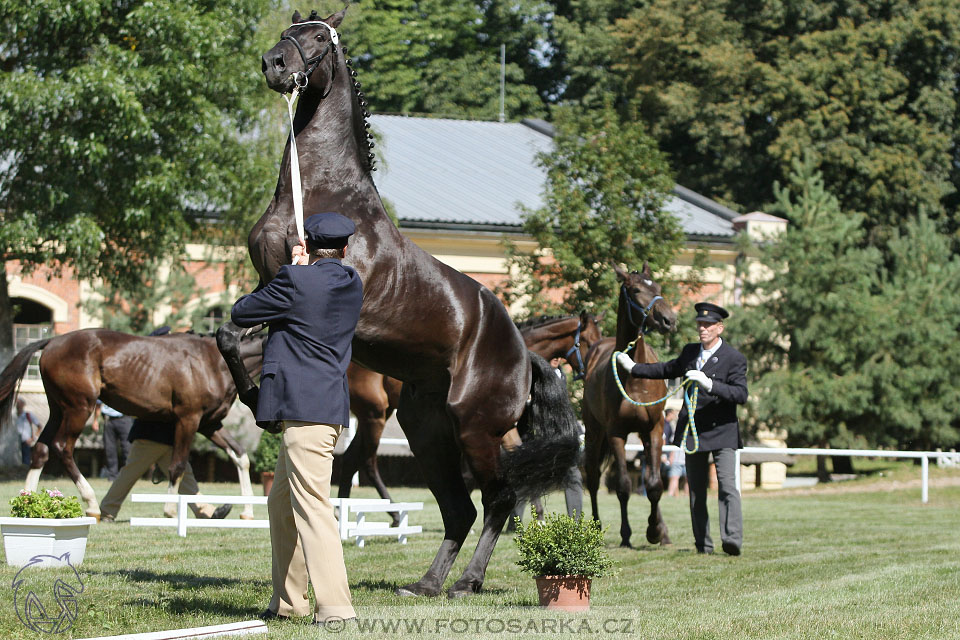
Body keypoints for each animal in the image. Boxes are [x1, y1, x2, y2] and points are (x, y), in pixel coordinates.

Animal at [0, 328, 264, 516]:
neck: (212, 362)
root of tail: (53, 341)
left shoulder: (209, 424)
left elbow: (240, 456)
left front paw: (247, 511)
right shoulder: (188, 419)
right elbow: (178, 465)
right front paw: (170, 510)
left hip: (58, 410)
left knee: (40, 450)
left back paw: (29, 503)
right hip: (78, 408)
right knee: (62, 448)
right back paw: (91, 504)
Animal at [218, 7, 576, 600]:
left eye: (319, 38)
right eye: (288, 32)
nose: (273, 63)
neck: (322, 196)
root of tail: (523, 354)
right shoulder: (270, 291)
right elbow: (230, 336)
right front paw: (254, 402)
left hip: (475, 427)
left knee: (498, 498)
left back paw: (466, 583)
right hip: (426, 429)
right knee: (458, 509)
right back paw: (427, 584)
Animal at [576, 262, 676, 548]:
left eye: (658, 286)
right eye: (635, 289)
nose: (669, 320)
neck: (634, 374)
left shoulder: (654, 429)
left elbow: (654, 484)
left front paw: (654, 531)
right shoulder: (616, 433)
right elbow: (622, 486)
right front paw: (626, 535)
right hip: (594, 431)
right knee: (593, 478)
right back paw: (596, 526)